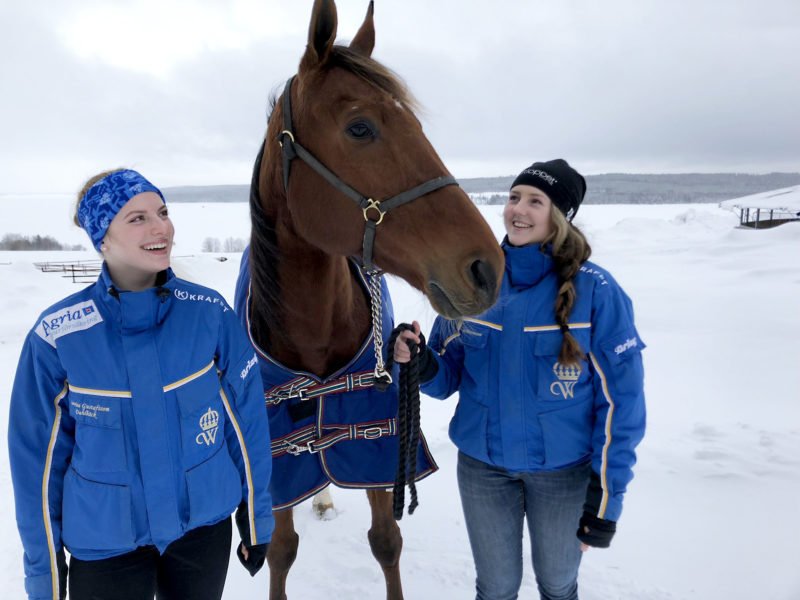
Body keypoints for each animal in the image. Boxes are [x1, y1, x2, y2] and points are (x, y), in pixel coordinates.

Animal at [244, 2, 504, 596]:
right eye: (360, 127)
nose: (487, 268)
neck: (312, 332)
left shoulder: (378, 439)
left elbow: (386, 541)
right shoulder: (276, 455)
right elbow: (280, 550)